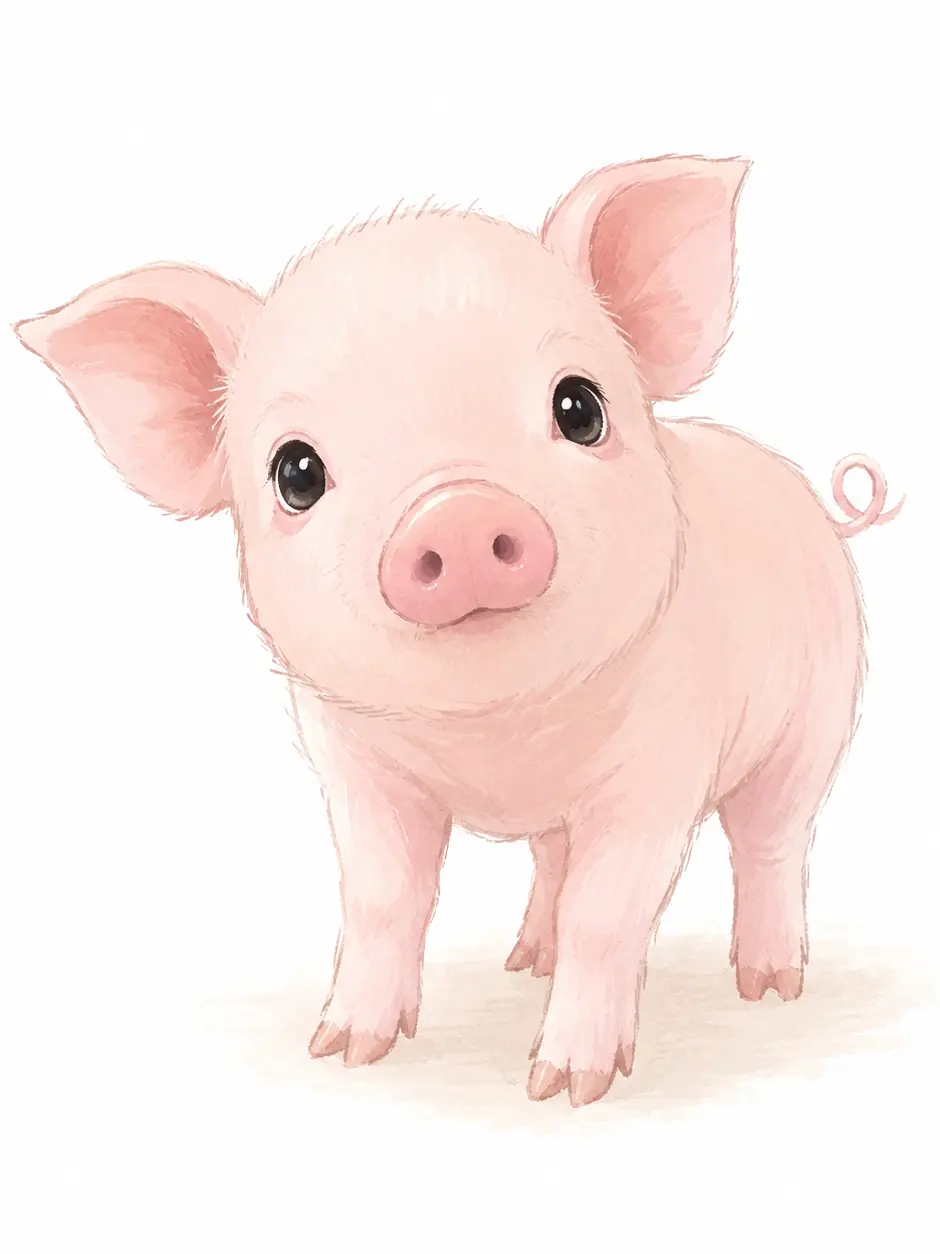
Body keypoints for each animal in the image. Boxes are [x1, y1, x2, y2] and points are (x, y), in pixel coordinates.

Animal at [15, 155, 902, 1107]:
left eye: (580, 407)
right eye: (296, 472)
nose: (459, 512)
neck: (499, 743)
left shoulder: (662, 761)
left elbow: (607, 915)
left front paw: (565, 1089)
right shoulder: (353, 763)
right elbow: (380, 898)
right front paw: (341, 1051)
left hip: (818, 716)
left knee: (772, 841)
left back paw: (770, 988)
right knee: (555, 859)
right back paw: (526, 961)